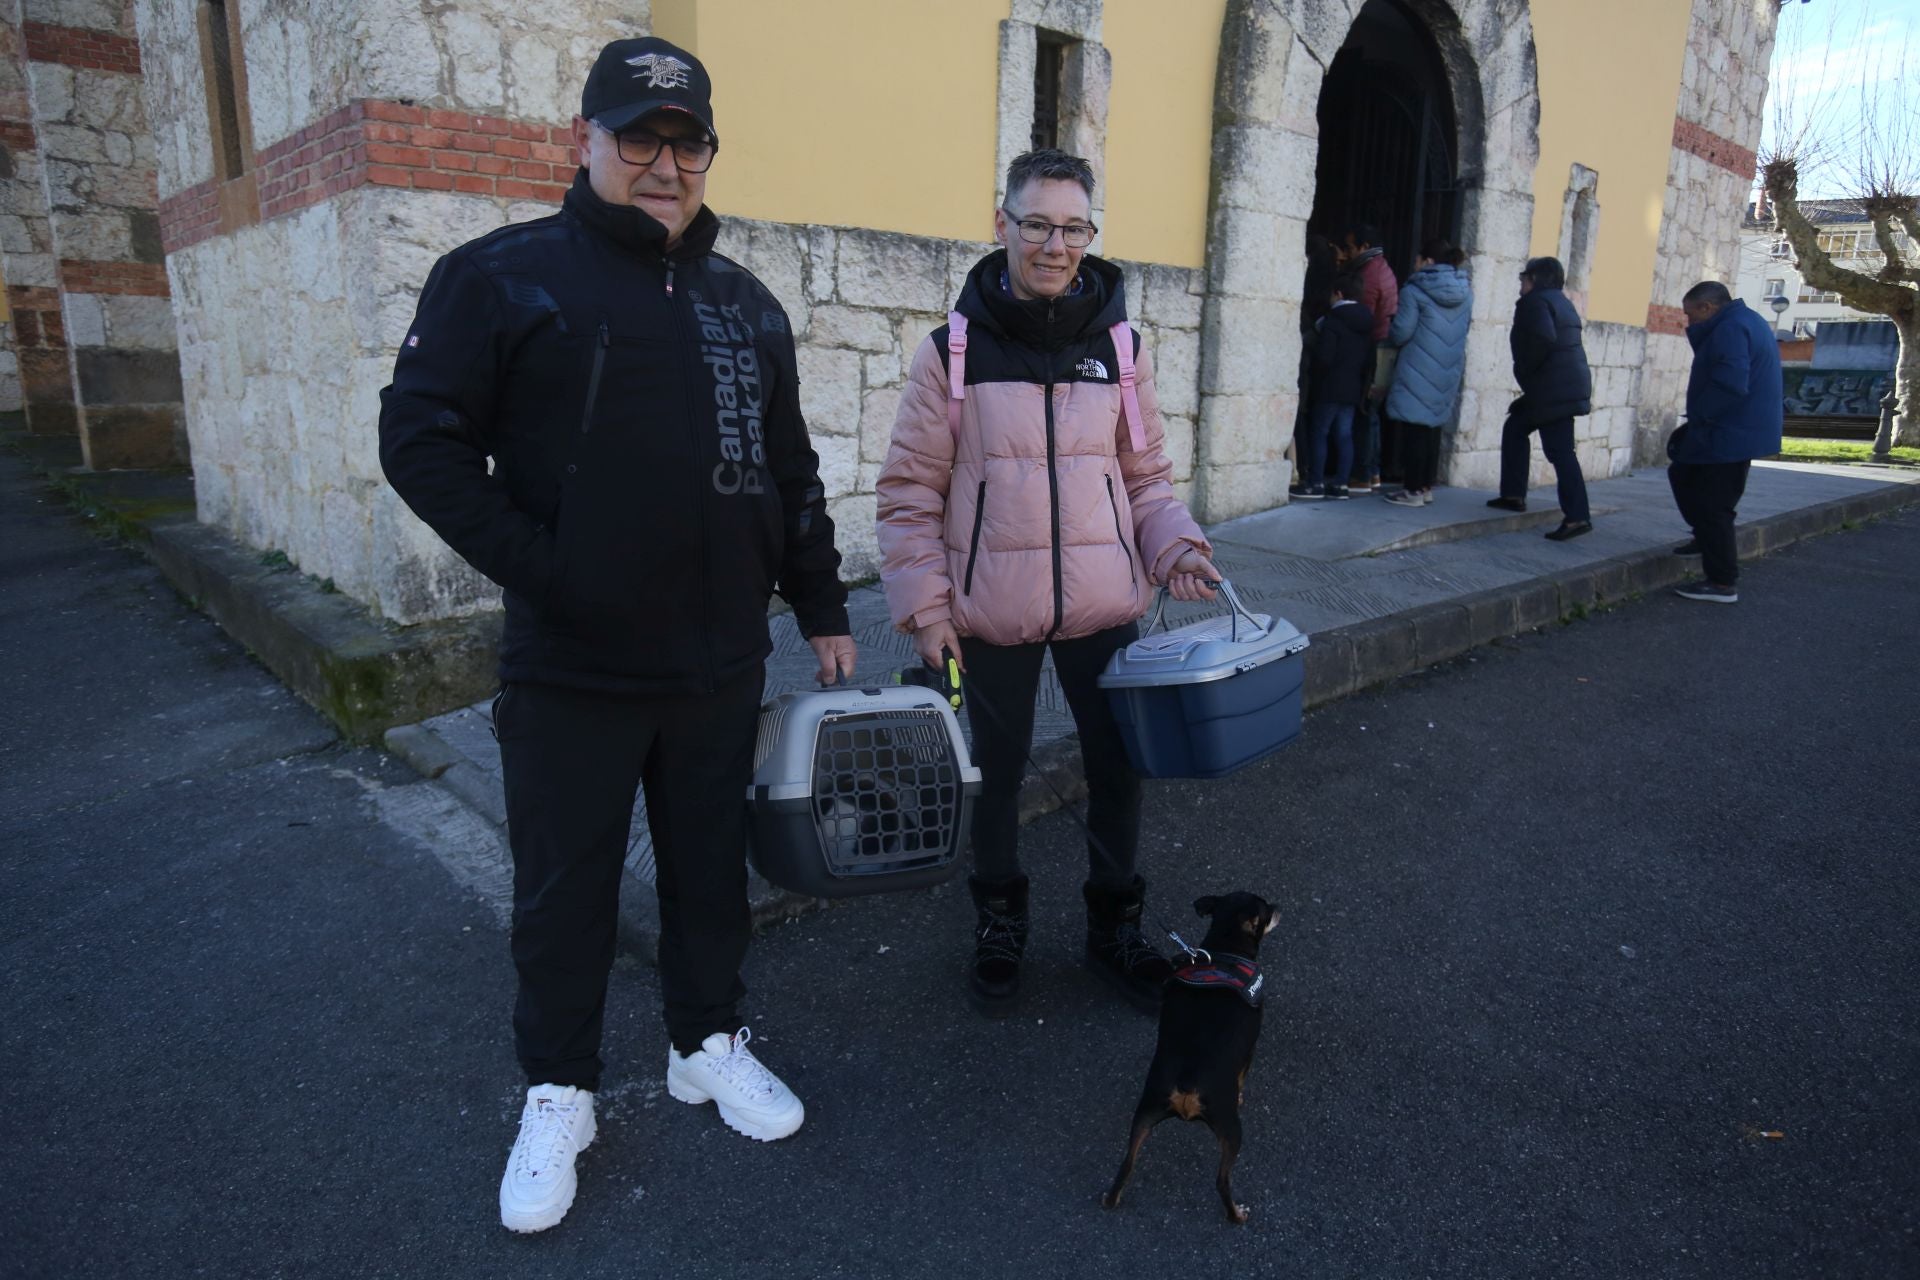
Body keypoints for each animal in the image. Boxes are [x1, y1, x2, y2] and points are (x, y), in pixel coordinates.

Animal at [1098, 898, 1274, 1228]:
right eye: (1268, 912)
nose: (1278, 907)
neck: (1224, 949)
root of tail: (1187, 1084)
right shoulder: (1251, 1047)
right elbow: (1243, 1075)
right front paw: (1241, 1095)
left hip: (1145, 1112)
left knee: (1126, 1165)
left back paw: (1111, 1199)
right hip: (1231, 1129)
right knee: (1222, 1182)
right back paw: (1236, 1215)